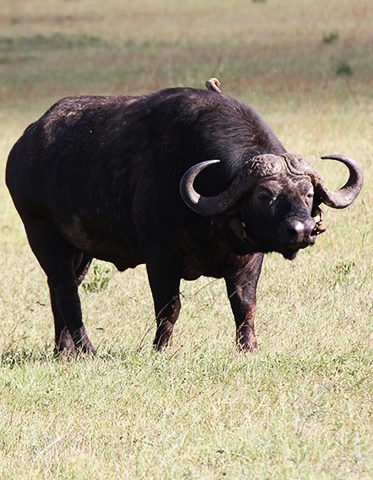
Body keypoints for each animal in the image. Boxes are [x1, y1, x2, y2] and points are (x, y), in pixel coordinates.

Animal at [5, 81, 360, 352]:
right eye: (264, 195)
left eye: (308, 193)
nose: (302, 230)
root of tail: (24, 146)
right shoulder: (160, 258)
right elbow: (169, 307)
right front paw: (160, 348)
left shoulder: (249, 259)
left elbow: (245, 305)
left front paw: (248, 348)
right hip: (42, 233)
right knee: (66, 291)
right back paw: (86, 349)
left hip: (79, 250)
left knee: (60, 289)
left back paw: (63, 350)